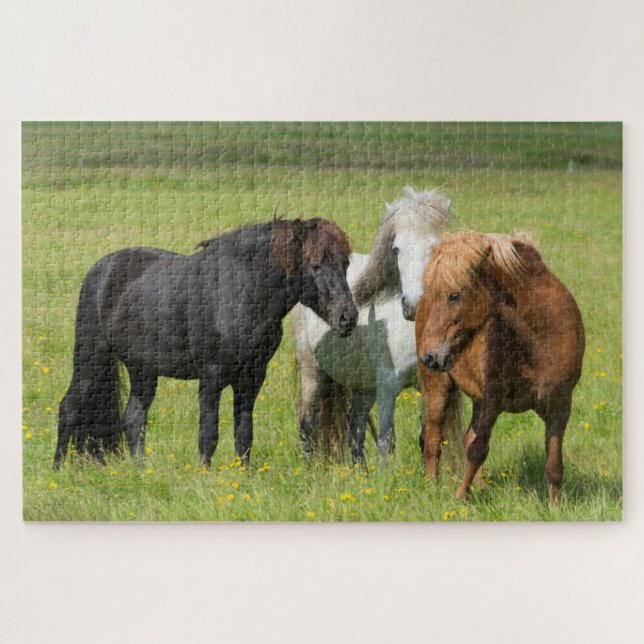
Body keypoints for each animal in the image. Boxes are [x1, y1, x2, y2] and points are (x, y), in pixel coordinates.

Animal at [54, 218, 358, 469]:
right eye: (315, 265)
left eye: (345, 264)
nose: (348, 318)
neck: (240, 294)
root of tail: (100, 270)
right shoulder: (211, 377)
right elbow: (209, 432)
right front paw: (206, 474)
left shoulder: (251, 378)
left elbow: (244, 432)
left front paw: (243, 474)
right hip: (91, 358)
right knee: (69, 407)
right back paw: (58, 469)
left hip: (143, 371)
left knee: (133, 418)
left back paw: (141, 470)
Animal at [292, 187, 453, 462]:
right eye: (396, 249)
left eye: (434, 247)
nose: (413, 306)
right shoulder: (387, 386)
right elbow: (386, 440)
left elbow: (427, 439)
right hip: (312, 371)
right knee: (308, 424)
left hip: (363, 385)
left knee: (354, 425)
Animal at [415, 232, 585, 503]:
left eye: (454, 295)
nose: (429, 356)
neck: (542, 337)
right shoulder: (493, 400)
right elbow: (478, 449)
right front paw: (459, 499)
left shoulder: (560, 406)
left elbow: (554, 464)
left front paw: (555, 506)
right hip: (438, 387)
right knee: (433, 438)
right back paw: (431, 487)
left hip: (477, 398)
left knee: (465, 438)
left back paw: (482, 488)